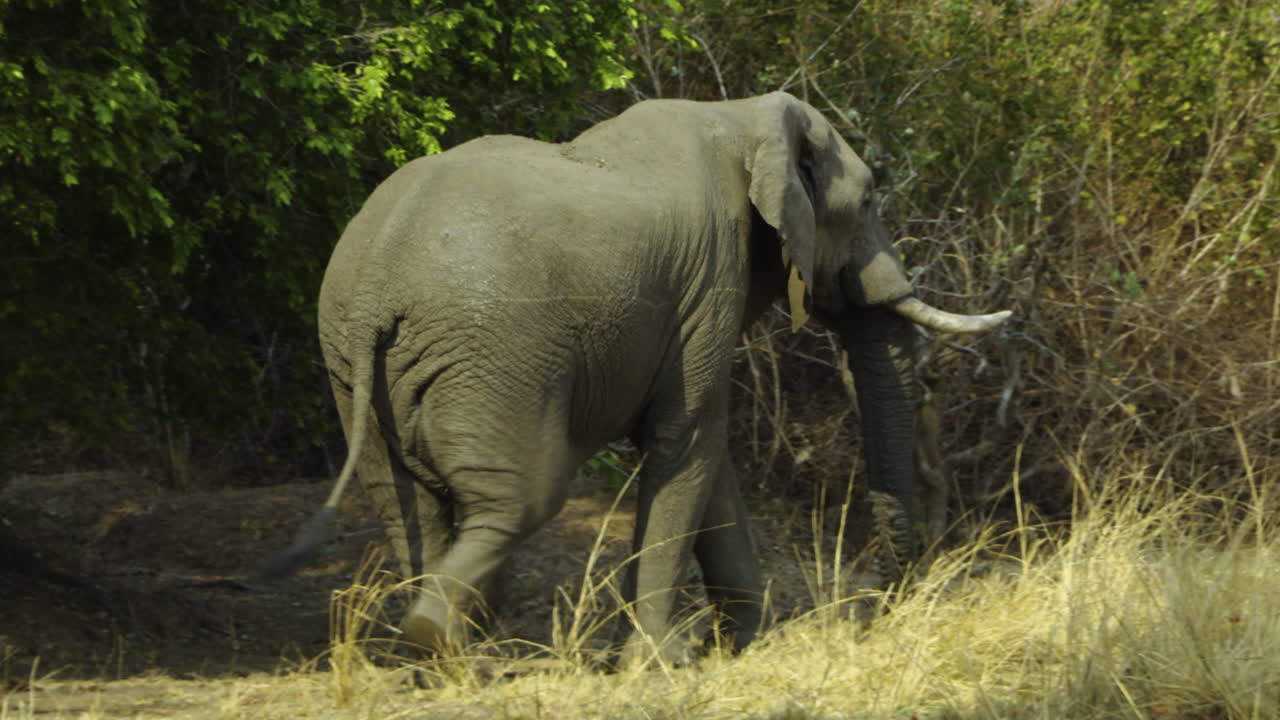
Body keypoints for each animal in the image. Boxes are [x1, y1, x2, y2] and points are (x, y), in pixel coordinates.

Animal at [264, 92, 1010, 667]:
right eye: (871, 200)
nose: (881, 607)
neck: (743, 116)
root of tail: (376, 277)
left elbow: (708, 460)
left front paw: (745, 644)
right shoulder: (710, 280)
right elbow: (688, 440)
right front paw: (663, 663)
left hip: (350, 361)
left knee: (403, 502)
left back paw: (444, 655)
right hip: (494, 355)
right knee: (525, 497)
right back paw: (450, 646)